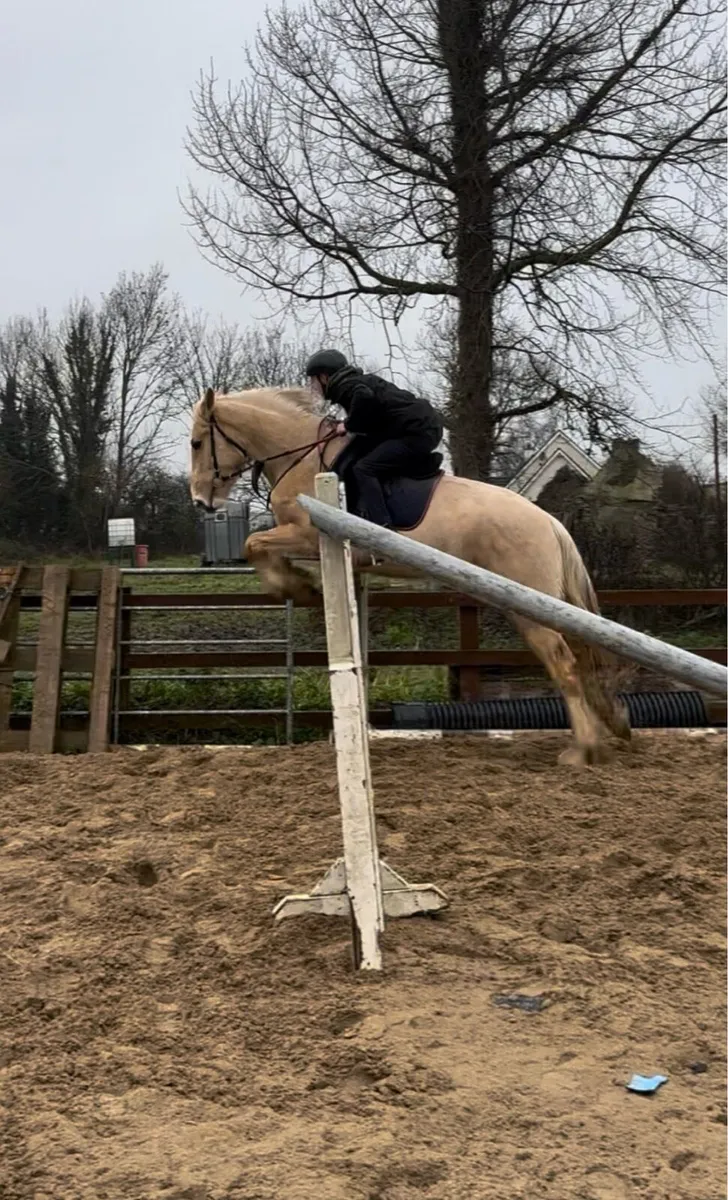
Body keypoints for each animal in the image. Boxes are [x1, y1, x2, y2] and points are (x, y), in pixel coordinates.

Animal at [188, 385, 630, 766]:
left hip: (528, 604)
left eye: (196, 443)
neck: (302, 459)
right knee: (580, 657)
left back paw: (584, 749)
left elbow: (254, 543)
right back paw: (611, 726)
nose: (200, 502)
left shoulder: (311, 535)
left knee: (564, 663)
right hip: (539, 602)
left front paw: (297, 585)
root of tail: (550, 522)